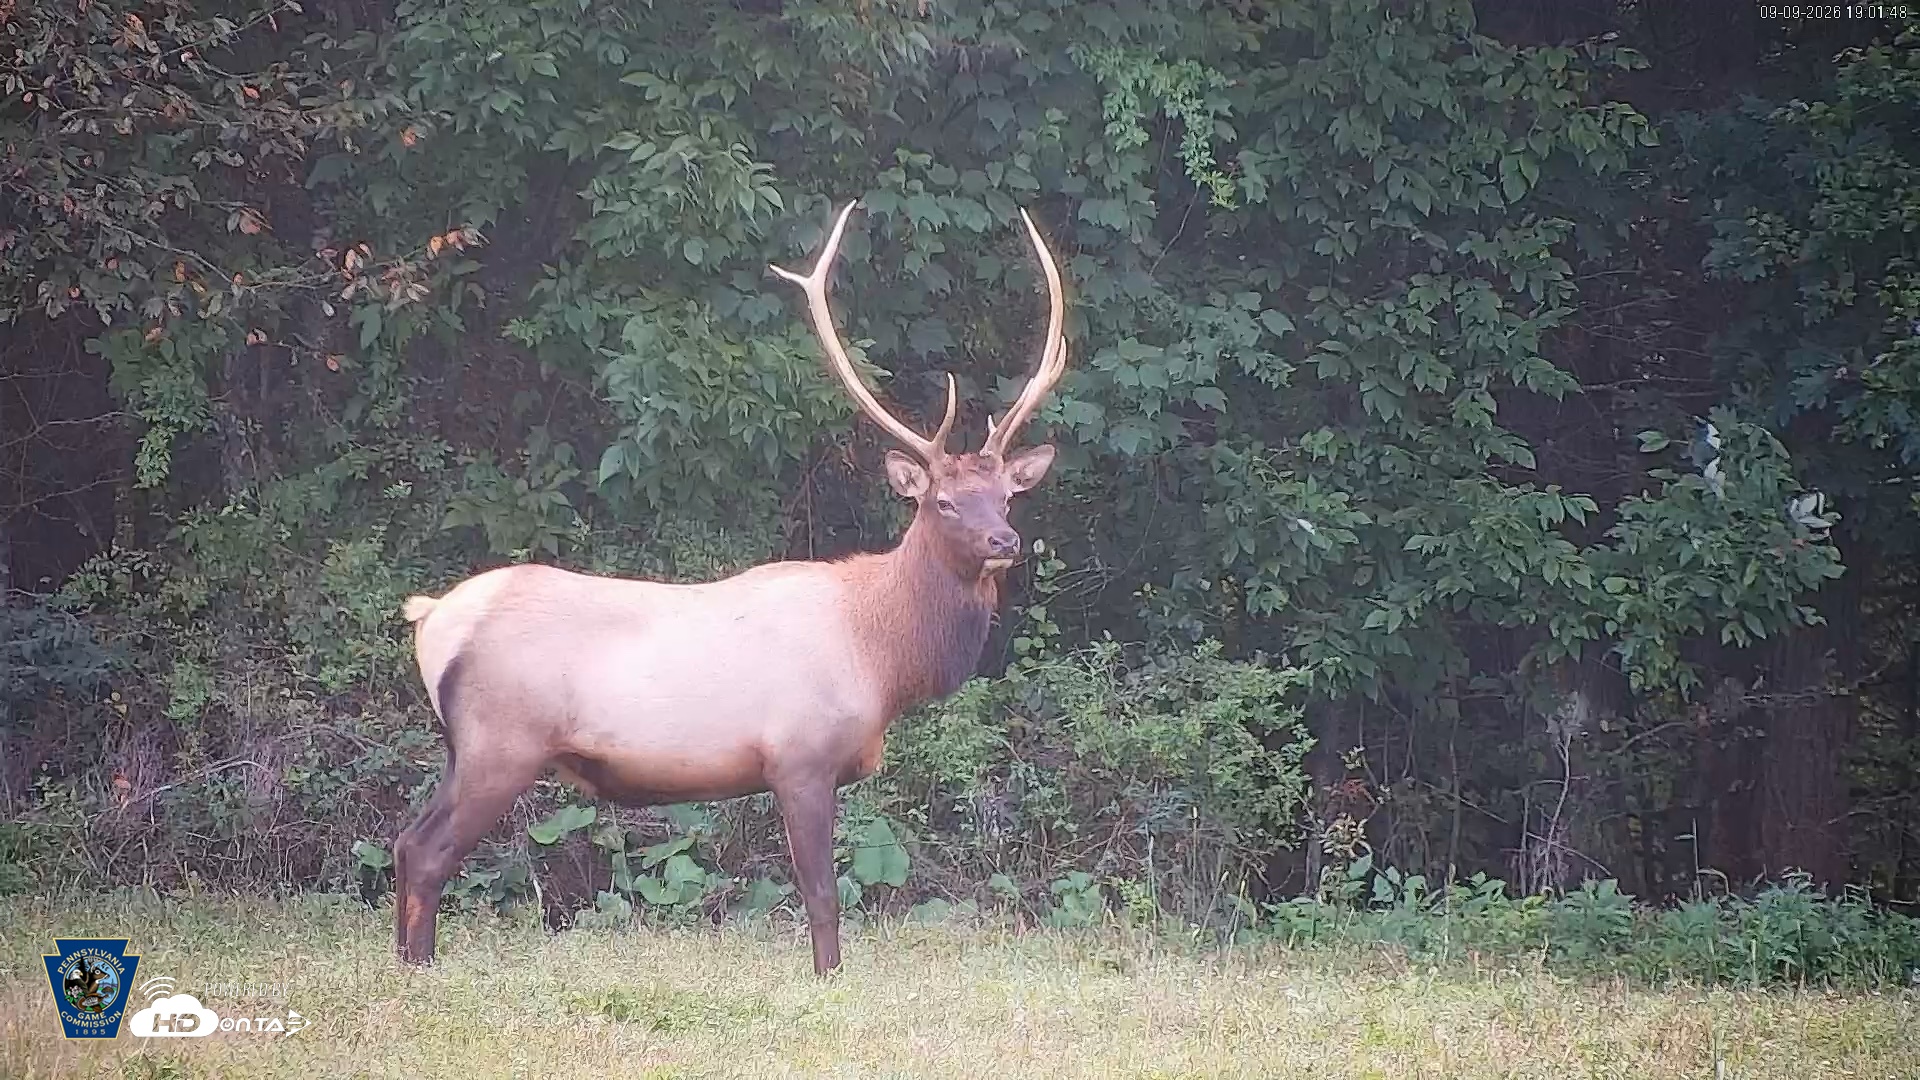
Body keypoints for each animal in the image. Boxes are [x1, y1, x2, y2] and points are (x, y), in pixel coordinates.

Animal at [391, 199, 1069, 976]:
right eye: (944, 503)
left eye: (1007, 497)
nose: (1004, 542)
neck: (881, 657)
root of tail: (432, 618)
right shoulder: (799, 756)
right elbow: (822, 896)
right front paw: (828, 980)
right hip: (499, 740)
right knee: (426, 849)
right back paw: (420, 970)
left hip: (467, 746)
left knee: (406, 842)